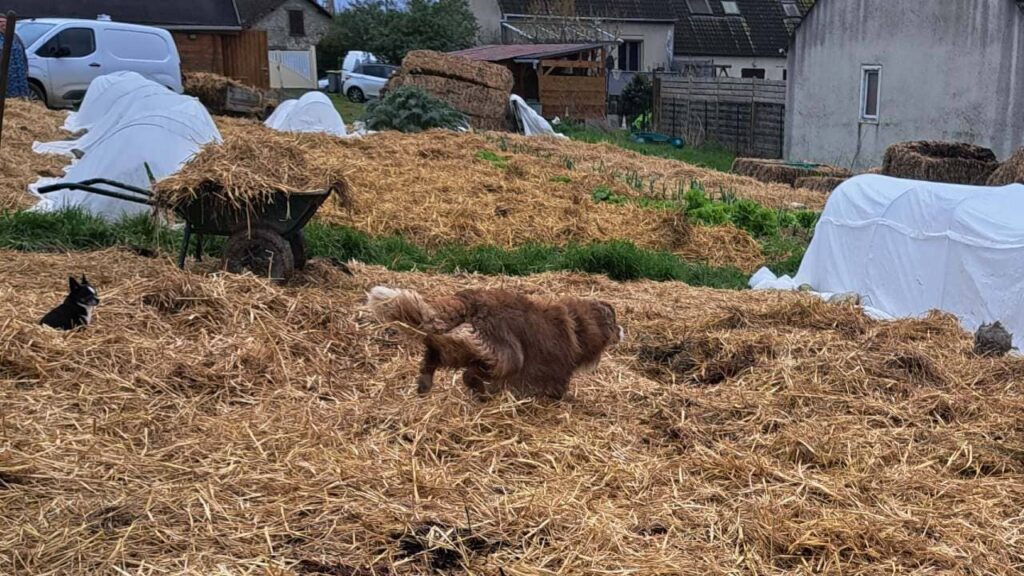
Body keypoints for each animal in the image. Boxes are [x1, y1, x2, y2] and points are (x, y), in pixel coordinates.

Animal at [368, 282, 622, 399]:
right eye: (614, 322)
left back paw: (425, 384)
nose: (622, 330)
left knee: (434, 352)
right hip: (508, 356)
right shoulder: (554, 373)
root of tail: (471, 301)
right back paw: (480, 392)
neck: (580, 325)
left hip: (462, 347)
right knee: (470, 373)